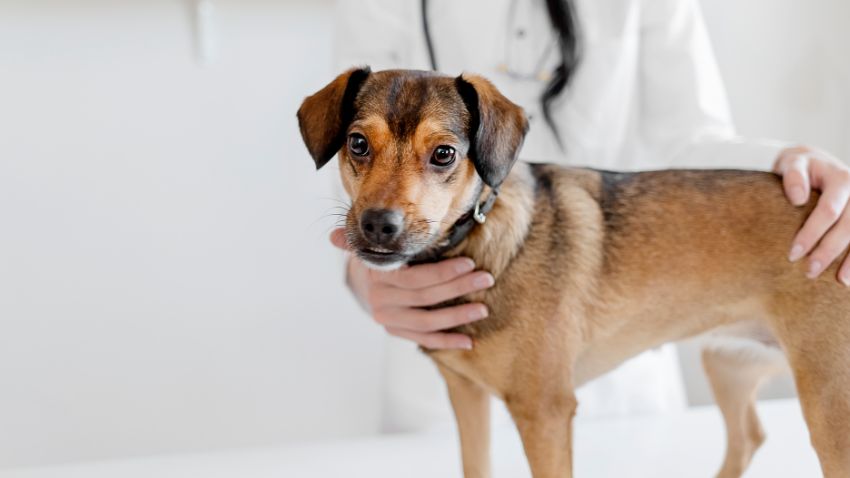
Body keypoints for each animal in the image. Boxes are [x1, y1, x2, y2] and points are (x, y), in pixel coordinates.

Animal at [296, 68, 848, 478]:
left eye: (444, 154)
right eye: (357, 143)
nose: (378, 225)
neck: (476, 244)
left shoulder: (545, 413)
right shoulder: (467, 395)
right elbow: (476, 464)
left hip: (828, 407)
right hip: (729, 363)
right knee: (749, 435)